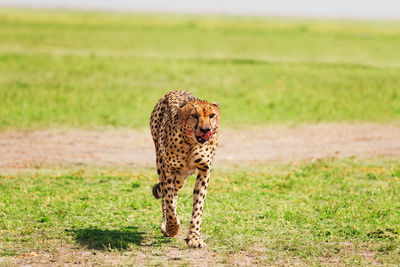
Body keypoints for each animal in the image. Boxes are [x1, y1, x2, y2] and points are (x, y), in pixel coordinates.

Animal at [149, 90, 219, 249]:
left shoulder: (204, 171)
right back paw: (166, 225)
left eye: (212, 115)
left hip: (181, 176)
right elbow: (169, 202)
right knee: (167, 196)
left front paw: (194, 237)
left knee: (174, 191)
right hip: (161, 163)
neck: (191, 143)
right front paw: (172, 227)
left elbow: (198, 207)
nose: (206, 130)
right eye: (194, 116)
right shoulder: (168, 170)